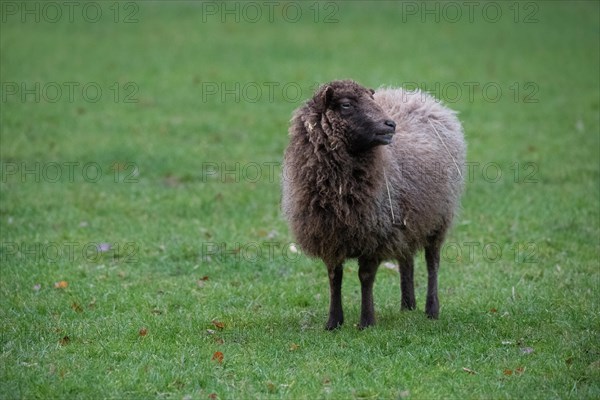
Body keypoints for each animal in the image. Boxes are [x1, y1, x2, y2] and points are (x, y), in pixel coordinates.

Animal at [282, 79, 468, 330]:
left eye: (371, 100)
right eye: (346, 105)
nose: (390, 124)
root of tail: (420, 97)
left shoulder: (374, 234)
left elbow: (366, 277)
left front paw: (367, 321)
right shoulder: (329, 235)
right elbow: (334, 277)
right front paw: (333, 322)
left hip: (438, 218)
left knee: (432, 263)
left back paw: (431, 310)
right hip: (406, 219)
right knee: (406, 260)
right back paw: (407, 305)